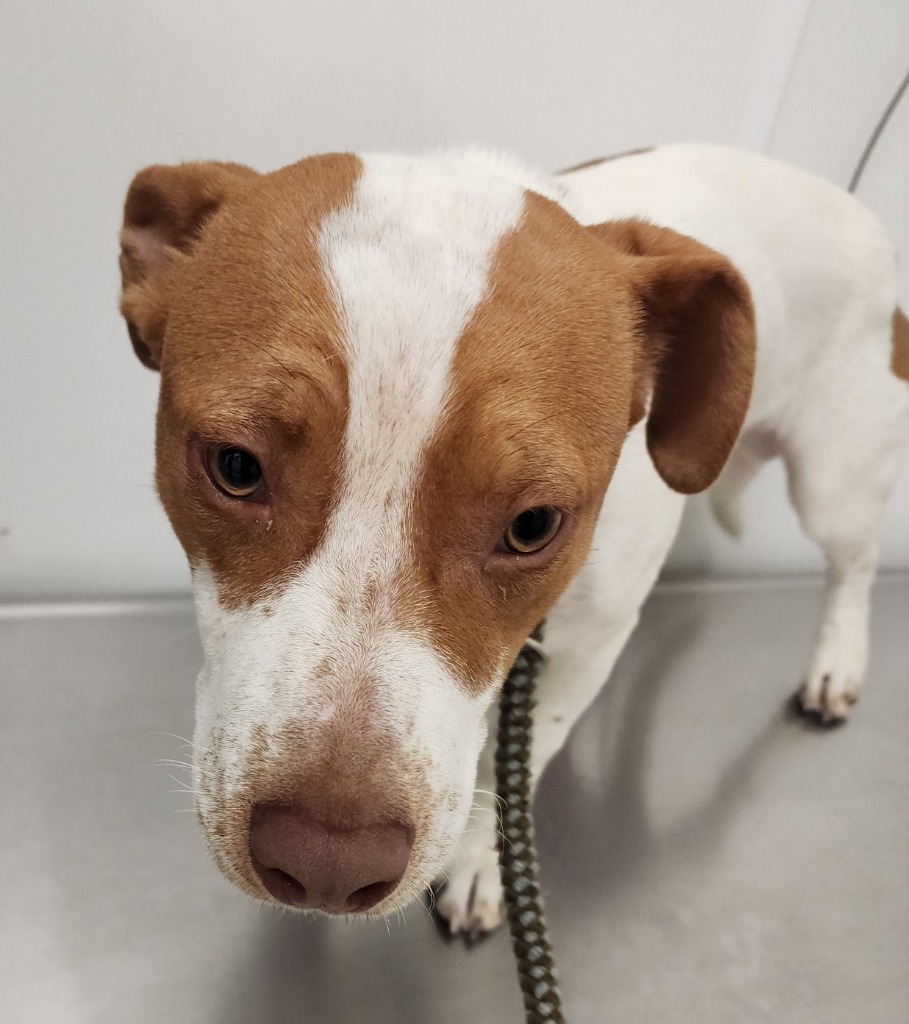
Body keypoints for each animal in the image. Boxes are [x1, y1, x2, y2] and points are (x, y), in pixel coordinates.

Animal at [118, 144, 909, 937]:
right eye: (235, 467)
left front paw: (482, 862)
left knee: (855, 563)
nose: (325, 863)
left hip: (833, 484)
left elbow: (525, 755)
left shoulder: (589, 646)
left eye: (533, 525)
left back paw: (836, 662)